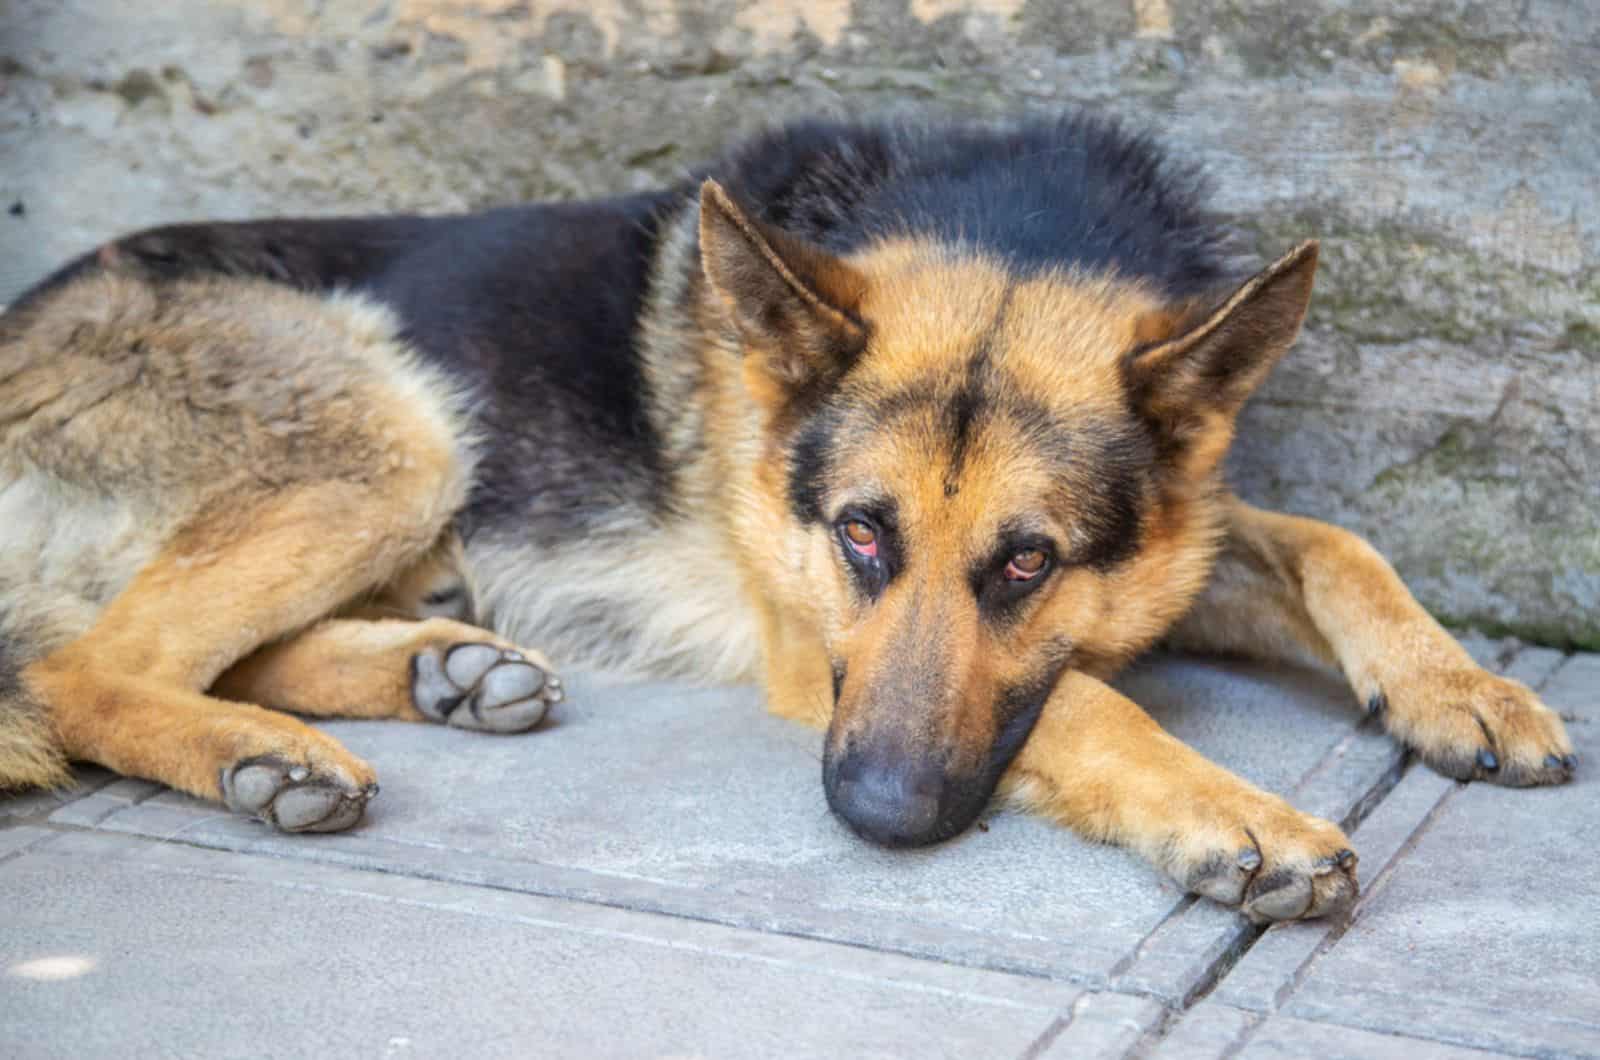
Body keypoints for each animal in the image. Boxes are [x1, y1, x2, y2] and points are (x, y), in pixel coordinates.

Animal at [0, 116, 1574, 922]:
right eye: (861, 536)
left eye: (1029, 561)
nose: (875, 817)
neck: (1015, 226)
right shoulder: (816, 645)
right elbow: (1081, 702)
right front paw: (1228, 810)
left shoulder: (1181, 530)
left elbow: (1331, 542)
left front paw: (1462, 687)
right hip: (397, 439)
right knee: (82, 670)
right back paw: (266, 752)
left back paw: (430, 672)